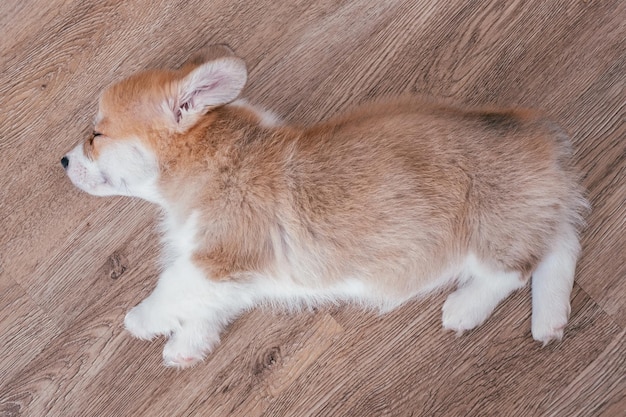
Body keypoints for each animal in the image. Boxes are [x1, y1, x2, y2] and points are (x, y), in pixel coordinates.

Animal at [61, 44, 588, 366]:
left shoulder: (215, 258)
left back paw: (465, 308)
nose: (63, 160)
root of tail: (539, 133)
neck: (212, 159)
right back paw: (550, 320)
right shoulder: (233, 277)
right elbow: (206, 309)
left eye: (96, 135)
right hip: (532, 212)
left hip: (488, 226)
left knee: (514, 268)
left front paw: (140, 321)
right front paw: (185, 349)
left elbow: (169, 287)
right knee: (561, 246)